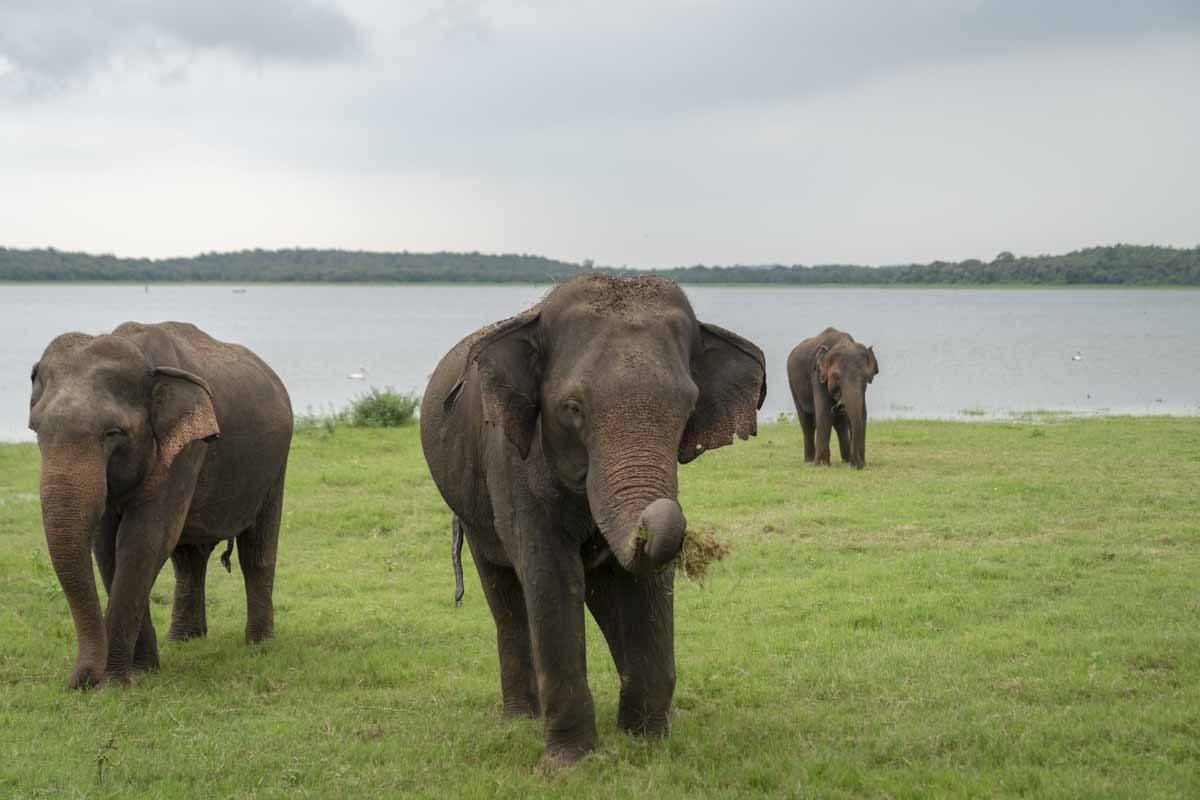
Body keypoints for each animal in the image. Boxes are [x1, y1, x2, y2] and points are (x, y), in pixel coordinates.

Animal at [29, 321, 291, 690]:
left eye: (113, 433)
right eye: (35, 429)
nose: (78, 683)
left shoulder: (185, 449)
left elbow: (144, 539)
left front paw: (115, 683)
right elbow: (107, 545)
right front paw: (142, 670)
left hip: (274, 465)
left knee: (256, 551)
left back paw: (259, 643)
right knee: (189, 558)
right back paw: (185, 639)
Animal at [417, 275, 763, 767]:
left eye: (687, 407)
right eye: (573, 409)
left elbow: (645, 583)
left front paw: (645, 744)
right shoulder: (510, 460)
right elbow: (551, 577)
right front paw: (568, 765)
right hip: (473, 508)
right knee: (505, 598)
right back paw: (521, 718)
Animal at [787, 328, 883, 472]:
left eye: (866, 377)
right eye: (836, 377)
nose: (858, 465)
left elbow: (862, 414)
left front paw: (858, 462)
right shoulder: (817, 376)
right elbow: (824, 413)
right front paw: (821, 465)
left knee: (840, 423)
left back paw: (845, 460)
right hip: (792, 384)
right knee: (806, 421)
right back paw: (809, 461)